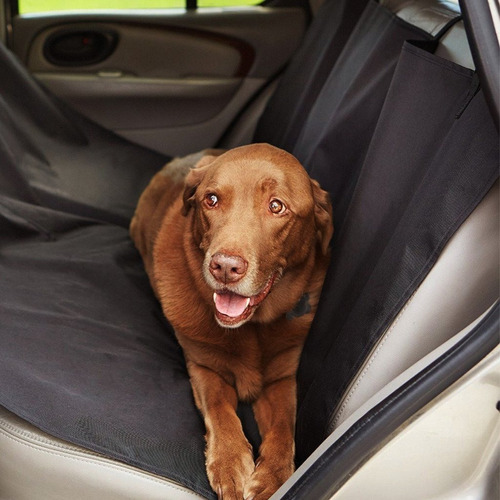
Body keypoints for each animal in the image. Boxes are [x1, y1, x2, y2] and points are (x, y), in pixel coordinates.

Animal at [130, 143, 332, 498]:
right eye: (211, 199)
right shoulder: (203, 366)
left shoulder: (282, 379)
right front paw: (229, 462)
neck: (250, 329)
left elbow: (284, 427)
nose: (225, 267)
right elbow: (220, 408)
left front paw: (273, 478)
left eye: (276, 206)